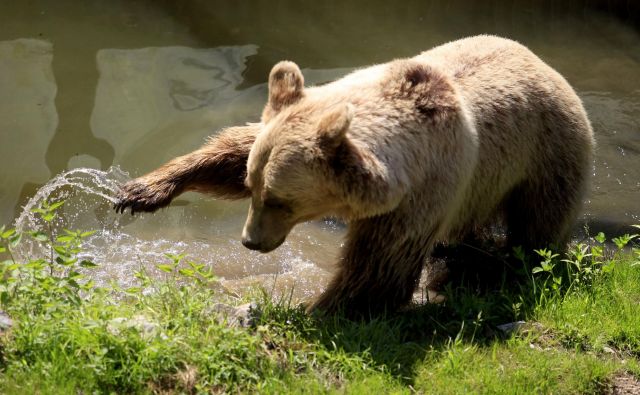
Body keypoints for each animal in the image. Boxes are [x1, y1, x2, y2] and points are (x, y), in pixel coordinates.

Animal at [114, 35, 596, 318]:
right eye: (253, 187)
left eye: (281, 201)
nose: (250, 242)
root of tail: (544, 63)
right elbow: (232, 150)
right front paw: (142, 191)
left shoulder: (419, 194)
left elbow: (377, 271)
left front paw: (308, 307)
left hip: (544, 158)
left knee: (537, 229)